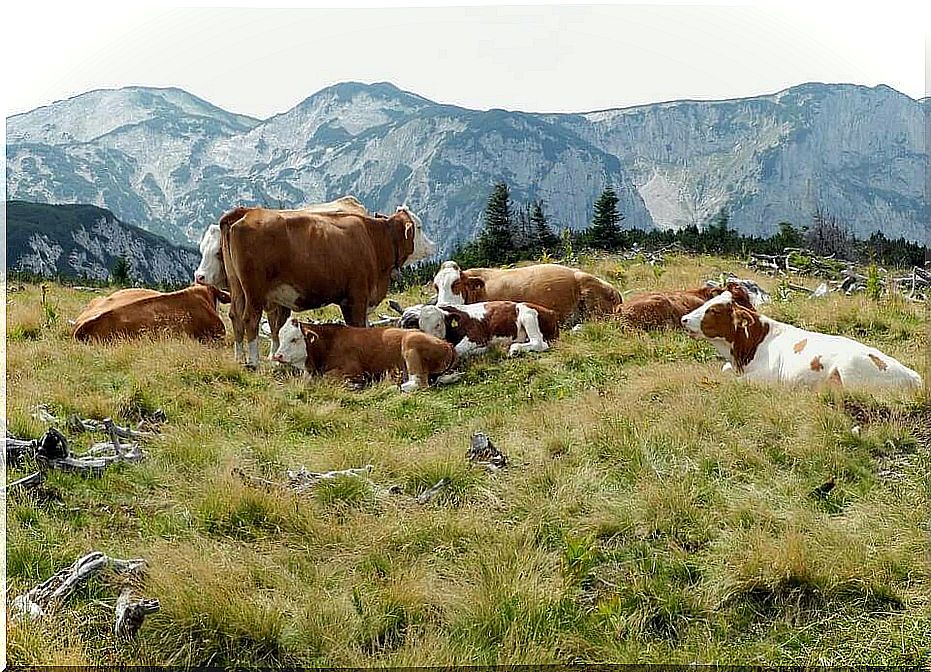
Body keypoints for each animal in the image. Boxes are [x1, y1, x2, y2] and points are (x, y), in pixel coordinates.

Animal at [272, 318, 456, 392]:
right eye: (280, 337)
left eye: (294, 339)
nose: (278, 356)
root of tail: (447, 344)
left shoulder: (353, 370)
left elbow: (328, 378)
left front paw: (356, 385)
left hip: (411, 345)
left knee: (419, 383)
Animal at [400, 304, 560, 360]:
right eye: (421, 328)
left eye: (438, 324)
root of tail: (551, 311)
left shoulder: (476, 337)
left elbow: (459, 350)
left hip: (527, 314)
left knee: (540, 343)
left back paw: (514, 349)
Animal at [680, 292, 928, 392]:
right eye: (707, 302)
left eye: (713, 310)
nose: (684, 319)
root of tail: (913, 375)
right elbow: (724, 371)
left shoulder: (768, 377)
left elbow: (736, 382)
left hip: (850, 370)